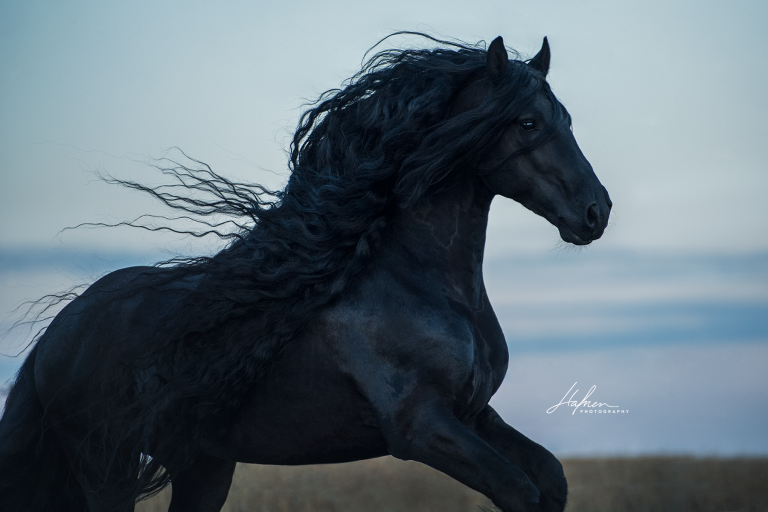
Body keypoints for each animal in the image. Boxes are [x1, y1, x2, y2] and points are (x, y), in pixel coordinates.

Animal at [0, 34, 611, 512]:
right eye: (528, 122)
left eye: (567, 120)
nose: (596, 212)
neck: (422, 284)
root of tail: (57, 334)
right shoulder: (421, 428)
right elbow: (519, 489)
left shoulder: (475, 415)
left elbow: (549, 478)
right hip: (108, 469)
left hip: (201, 466)